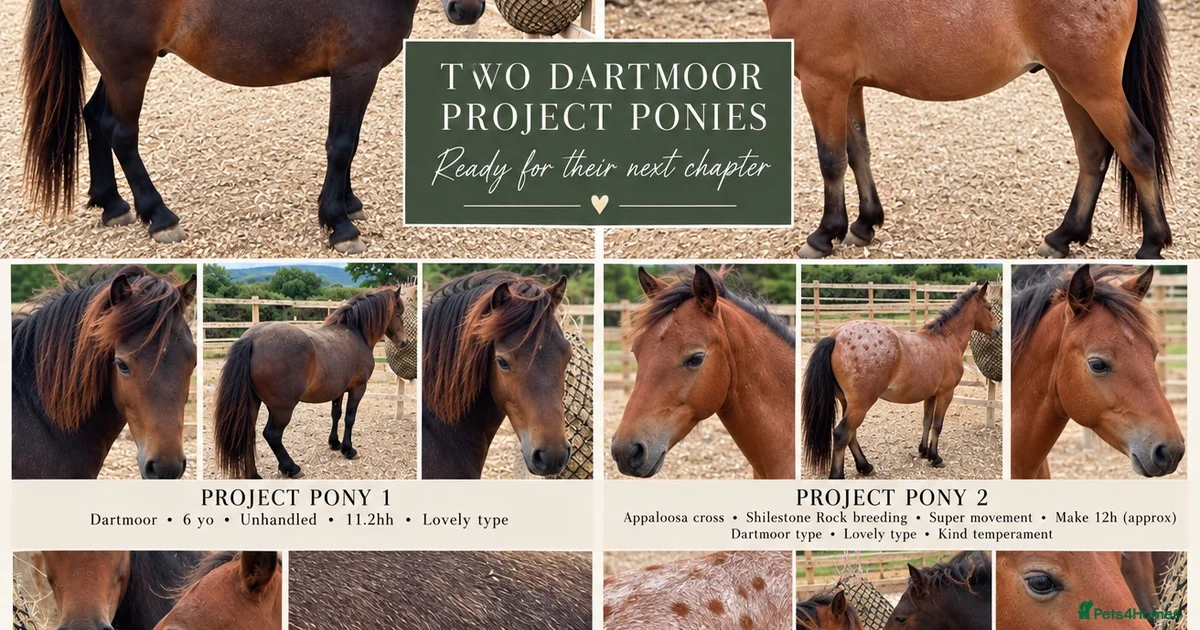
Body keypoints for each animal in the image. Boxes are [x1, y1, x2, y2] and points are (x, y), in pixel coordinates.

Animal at [21, 0, 483, 254]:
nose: (467, 10)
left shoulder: (355, 75)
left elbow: (349, 143)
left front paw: (348, 203)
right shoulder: (356, 71)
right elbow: (342, 145)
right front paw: (338, 224)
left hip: (117, 68)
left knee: (94, 118)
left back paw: (112, 205)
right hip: (128, 67)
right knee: (120, 131)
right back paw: (159, 216)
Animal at [213, 287, 405, 479]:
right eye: (398, 313)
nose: (403, 342)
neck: (355, 334)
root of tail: (252, 339)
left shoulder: (338, 391)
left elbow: (336, 414)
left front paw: (334, 443)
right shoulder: (358, 388)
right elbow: (350, 418)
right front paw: (348, 449)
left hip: (253, 402)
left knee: (247, 434)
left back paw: (254, 475)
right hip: (282, 409)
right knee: (272, 435)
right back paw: (291, 468)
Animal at [767, 0, 1173, 260]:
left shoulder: (823, 85)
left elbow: (831, 160)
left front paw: (823, 235)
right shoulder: (848, 87)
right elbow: (857, 153)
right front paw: (865, 224)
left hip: (1093, 87)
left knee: (1137, 148)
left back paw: (1151, 244)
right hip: (1068, 83)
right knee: (1093, 151)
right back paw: (1064, 236)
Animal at [803, 283, 997, 478]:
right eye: (989, 308)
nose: (997, 330)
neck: (946, 339)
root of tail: (835, 337)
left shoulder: (930, 395)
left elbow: (926, 421)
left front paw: (924, 451)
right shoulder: (945, 394)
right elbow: (937, 425)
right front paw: (935, 458)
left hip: (847, 403)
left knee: (852, 434)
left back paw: (865, 466)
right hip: (860, 405)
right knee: (842, 434)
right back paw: (840, 474)